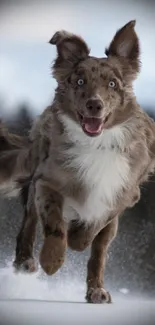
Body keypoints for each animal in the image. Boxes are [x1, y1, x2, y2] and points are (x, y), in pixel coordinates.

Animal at [0, 20, 155, 304]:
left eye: (113, 84)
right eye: (80, 81)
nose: (95, 105)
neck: (97, 143)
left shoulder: (122, 195)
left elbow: (93, 230)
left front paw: (78, 239)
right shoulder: (46, 182)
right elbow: (53, 225)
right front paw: (51, 261)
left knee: (98, 254)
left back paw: (97, 290)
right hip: (34, 181)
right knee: (28, 224)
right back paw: (25, 262)